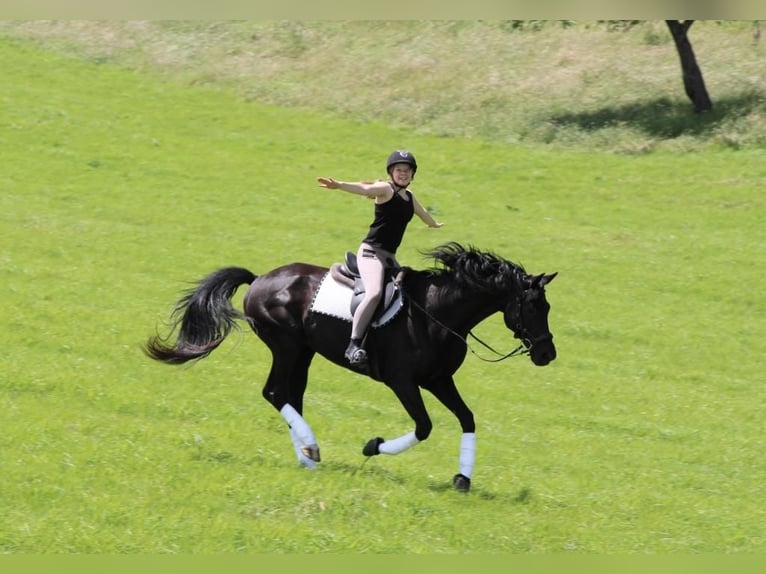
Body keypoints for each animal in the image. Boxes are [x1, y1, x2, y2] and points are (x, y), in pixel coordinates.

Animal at [146, 243, 560, 496]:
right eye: (533, 306)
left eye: (547, 307)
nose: (547, 354)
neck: (437, 313)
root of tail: (260, 279)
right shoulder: (403, 382)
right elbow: (424, 427)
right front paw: (372, 446)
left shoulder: (439, 380)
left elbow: (467, 418)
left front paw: (462, 478)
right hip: (286, 347)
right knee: (275, 392)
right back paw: (310, 450)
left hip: (303, 353)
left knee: (291, 396)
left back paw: (307, 455)